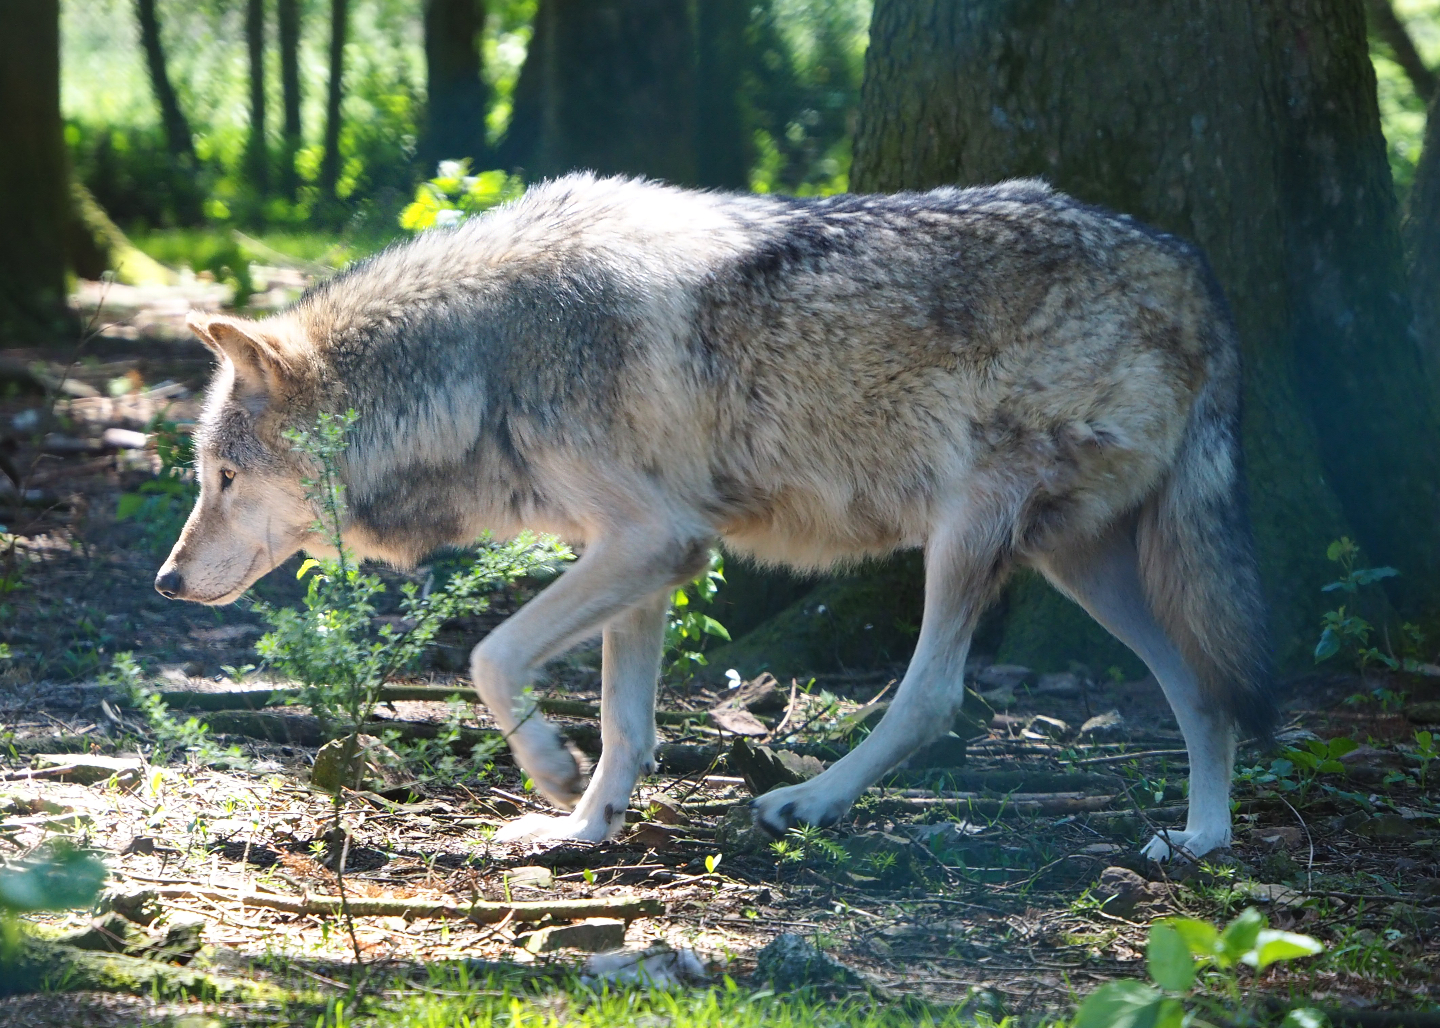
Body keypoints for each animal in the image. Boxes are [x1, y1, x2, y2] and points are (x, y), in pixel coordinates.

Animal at [156, 173, 1274, 860]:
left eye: (222, 476)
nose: (165, 581)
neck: (481, 359)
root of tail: (1196, 271)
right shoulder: (639, 555)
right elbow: (626, 717)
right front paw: (583, 829)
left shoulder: (655, 540)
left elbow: (491, 656)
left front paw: (551, 773)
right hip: (1081, 564)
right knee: (1204, 686)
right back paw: (1200, 840)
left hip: (967, 533)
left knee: (934, 698)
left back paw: (807, 801)